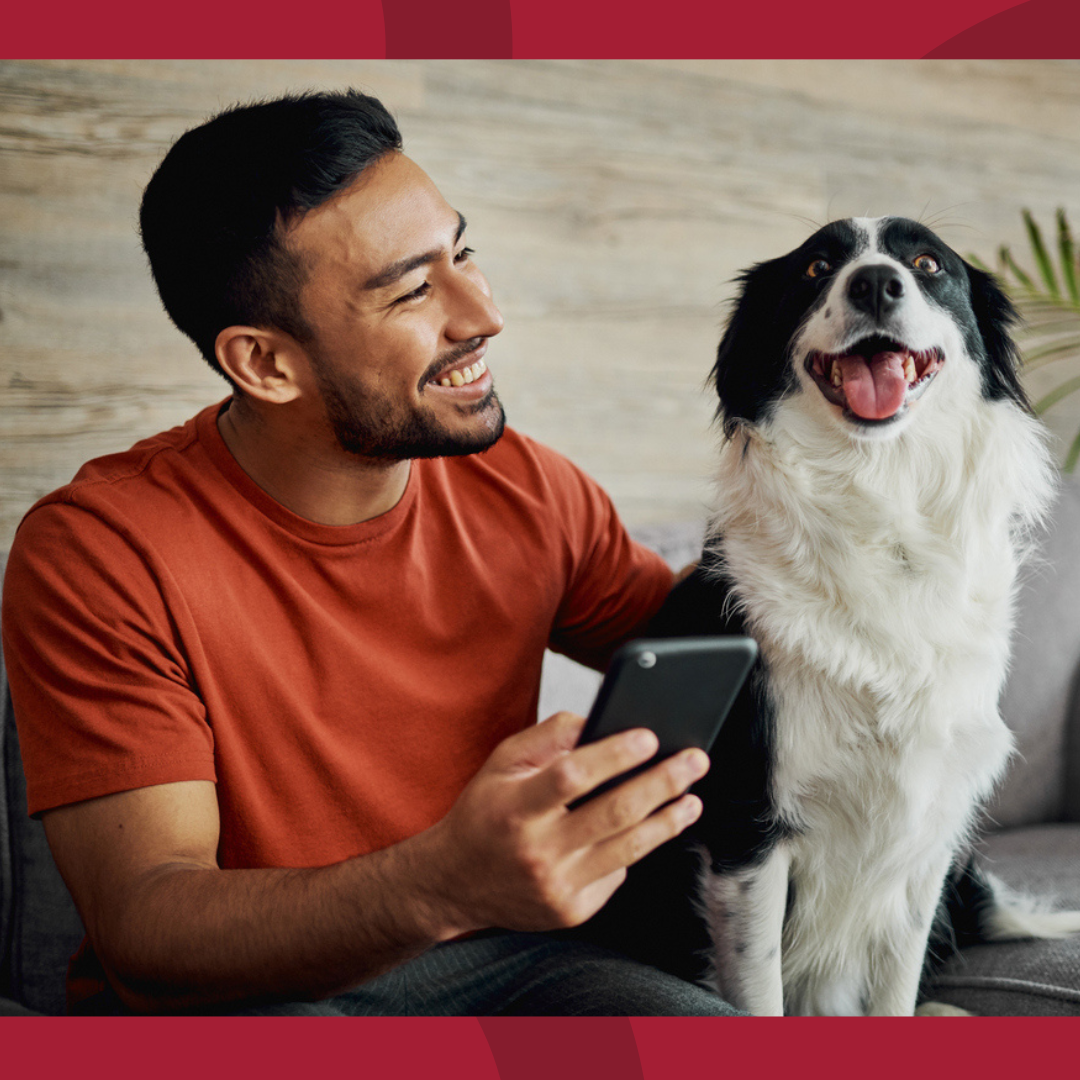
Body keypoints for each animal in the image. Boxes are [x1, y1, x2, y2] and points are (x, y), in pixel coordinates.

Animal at [591, 217, 1080, 1010]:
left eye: (927, 263)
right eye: (817, 267)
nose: (876, 282)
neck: (880, 501)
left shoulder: (926, 830)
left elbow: (897, 988)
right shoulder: (749, 826)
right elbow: (759, 989)